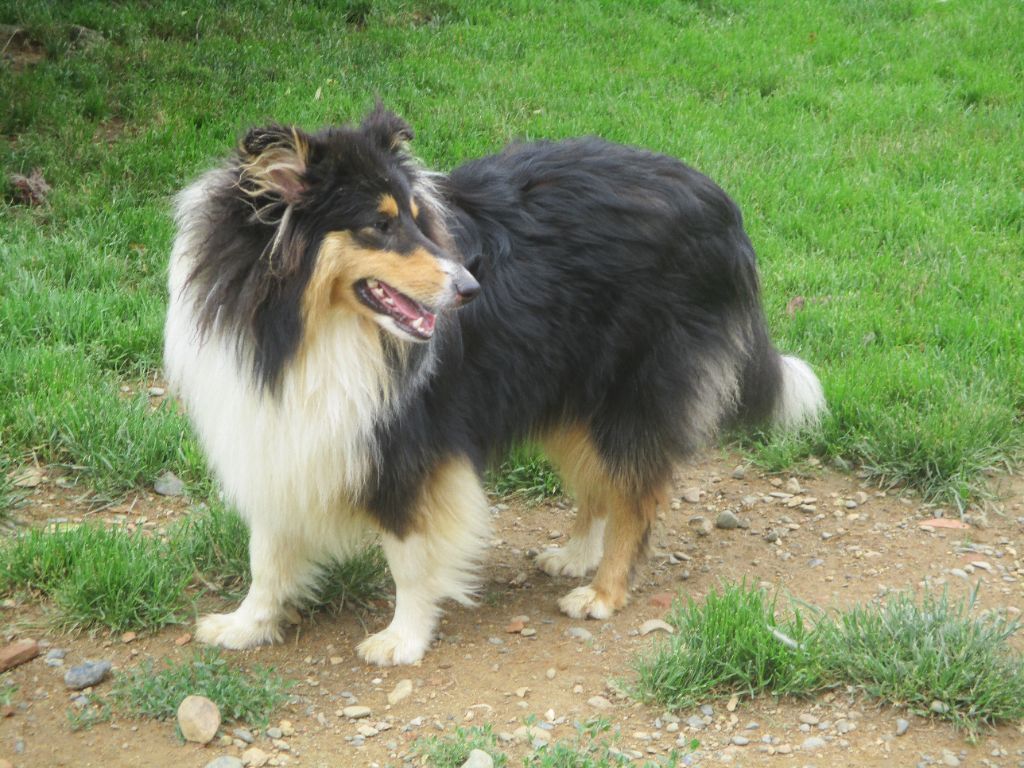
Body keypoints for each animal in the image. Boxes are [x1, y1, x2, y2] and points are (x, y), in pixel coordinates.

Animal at [164, 105, 825, 665]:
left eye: (415, 219)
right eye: (378, 225)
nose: (468, 289)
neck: (306, 329)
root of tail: (717, 202)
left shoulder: (412, 443)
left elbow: (409, 553)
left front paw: (402, 638)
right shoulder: (278, 430)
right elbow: (267, 551)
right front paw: (244, 625)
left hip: (627, 390)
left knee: (634, 494)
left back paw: (602, 592)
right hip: (567, 385)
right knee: (599, 483)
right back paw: (574, 556)